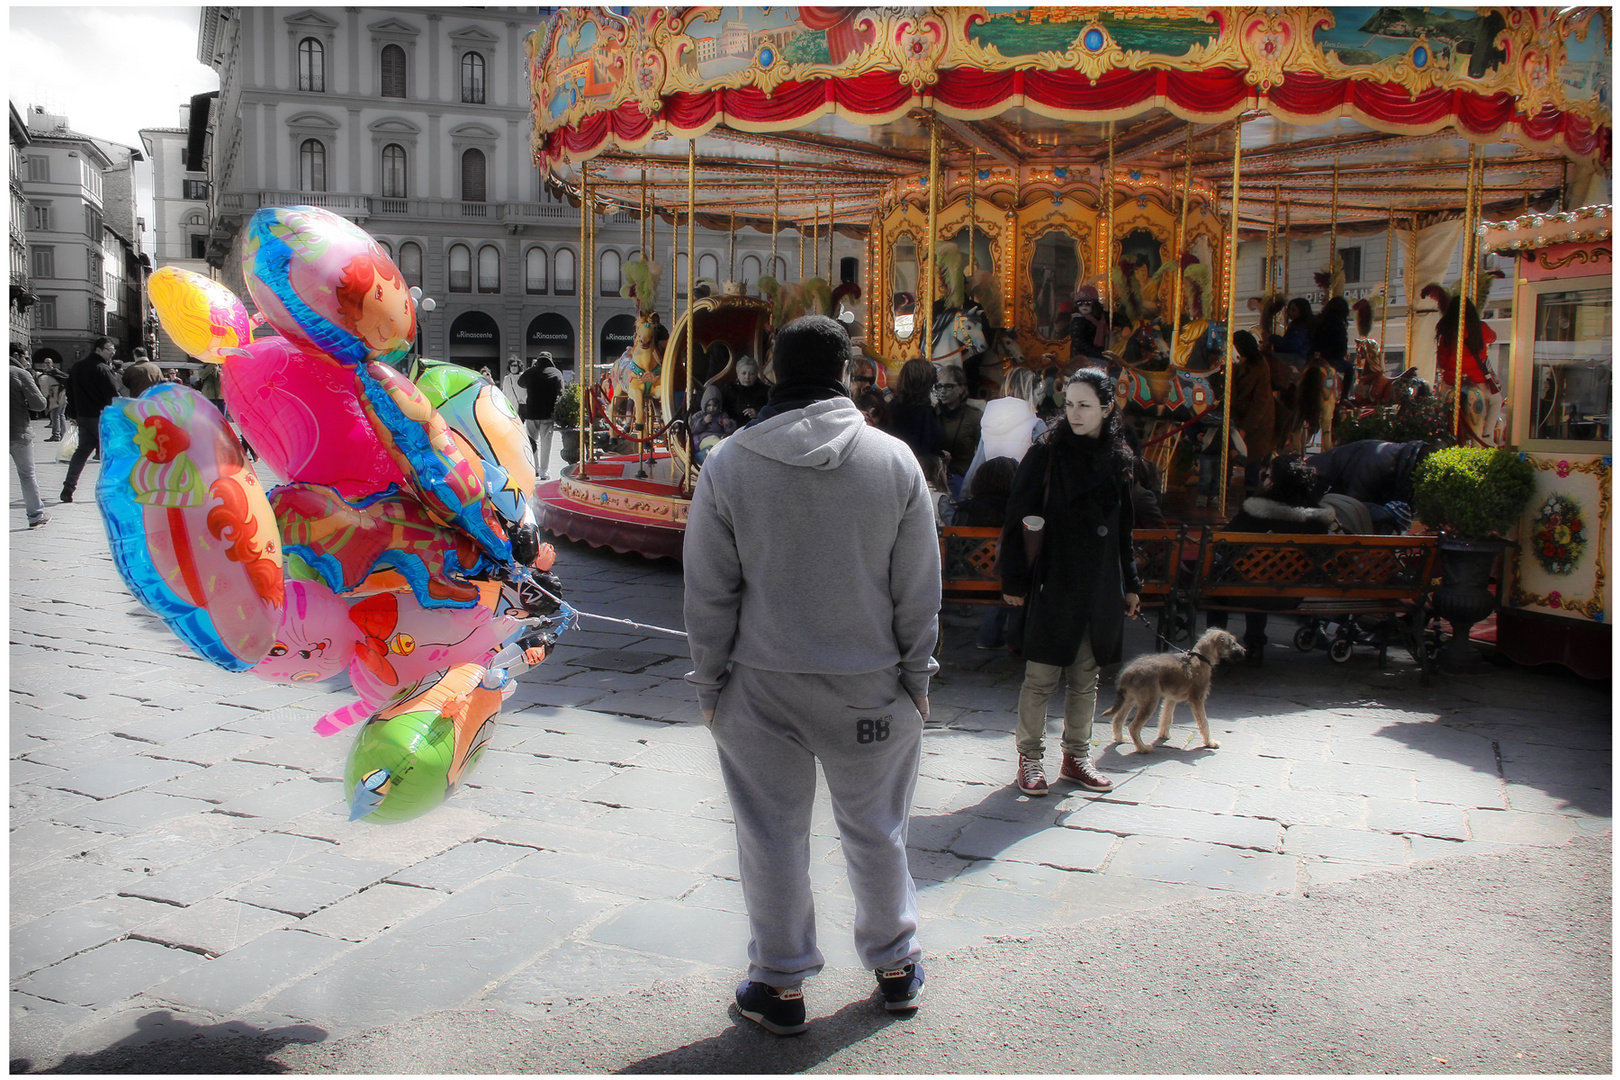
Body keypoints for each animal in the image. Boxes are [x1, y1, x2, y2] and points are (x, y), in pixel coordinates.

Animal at [1108, 634, 1244, 751]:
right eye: (1233, 643)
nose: (1244, 650)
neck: (1201, 657)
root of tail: (1127, 673)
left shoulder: (1171, 698)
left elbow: (1166, 717)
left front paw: (1163, 735)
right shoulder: (1197, 699)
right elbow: (1204, 723)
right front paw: (1210, 743)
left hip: (1129, 700)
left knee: (1117, 720)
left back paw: (1120, 739)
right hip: (1149, 704)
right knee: (1133, 727)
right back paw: (1143, 748)